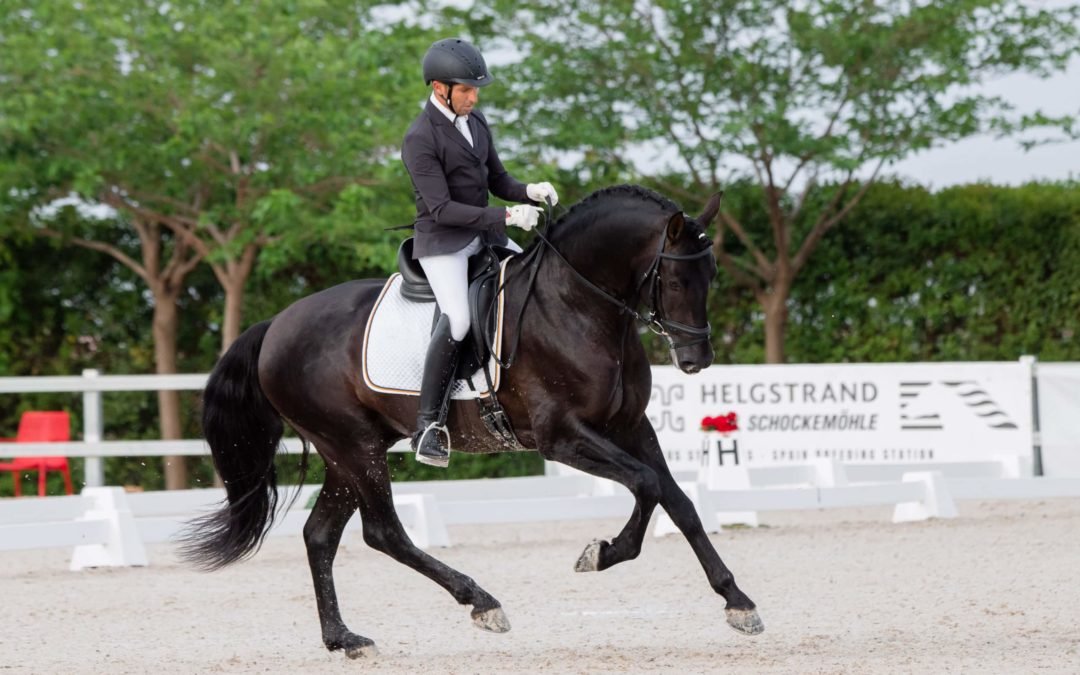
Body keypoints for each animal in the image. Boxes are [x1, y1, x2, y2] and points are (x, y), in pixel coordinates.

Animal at [180, 184, 764, 658]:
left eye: (711, 273)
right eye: (676, 277)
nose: (697, 360)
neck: (576, 304)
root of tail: (276, 324)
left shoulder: (631, 427)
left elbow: (679, 502)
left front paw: (737, 601)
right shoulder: (562, 438)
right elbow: (646, 485)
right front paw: (600, 554)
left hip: (348, 452)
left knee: (320, 535)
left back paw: (344, 639)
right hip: (354, 446)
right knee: (383, 532)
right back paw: (482, 602)